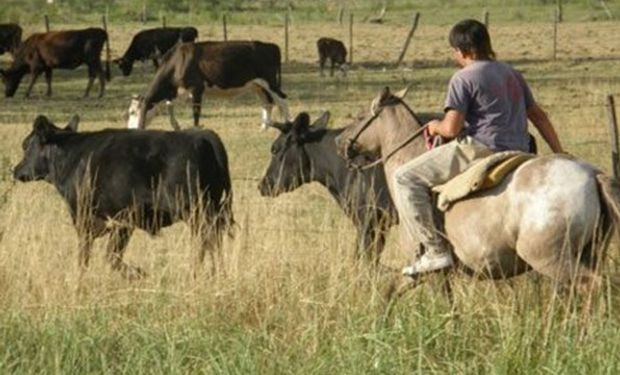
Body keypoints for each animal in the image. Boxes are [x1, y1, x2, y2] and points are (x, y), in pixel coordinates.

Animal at [13, 115, 234, 280]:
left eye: (25, 145)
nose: (15, 170)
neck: (73, 157)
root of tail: (202, 135)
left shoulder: (101, 218)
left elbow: (98, 256)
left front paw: (138, 274)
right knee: (212, 242)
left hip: (195, 211)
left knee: (205, 241)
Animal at [130, 40, 290, 130]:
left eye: (132, 112)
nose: (131, 130)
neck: (178, 62)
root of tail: (271, 46)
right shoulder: (179, 92)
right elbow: (170, 106)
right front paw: (176, 125)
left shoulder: (196, 88)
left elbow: (196, 111)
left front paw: (196, 128)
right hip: (257, 85)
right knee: (267, 103)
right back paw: (264, 127)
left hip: (269, 81)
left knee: (282, 99)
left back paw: (288, 124)